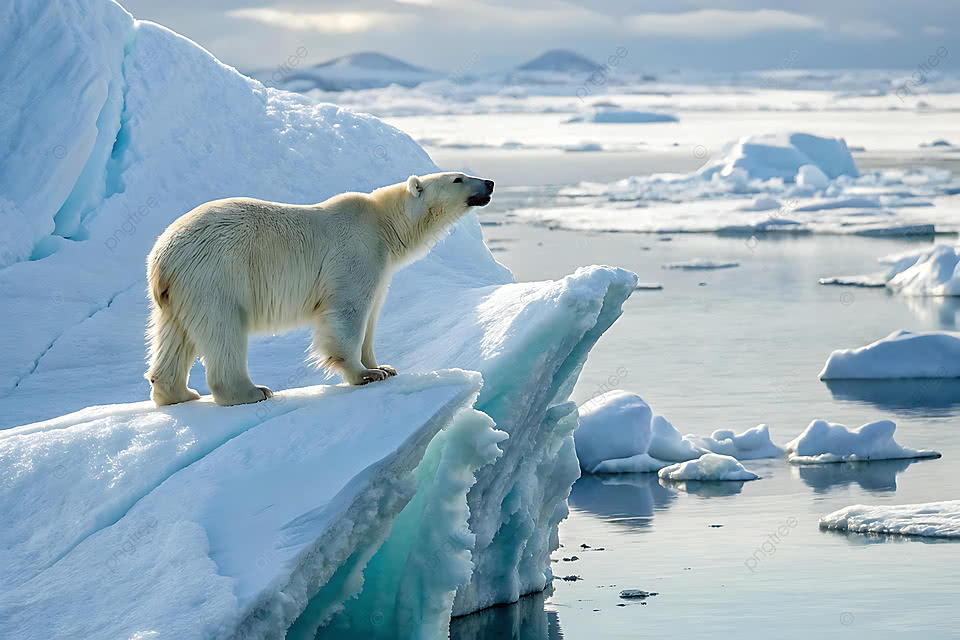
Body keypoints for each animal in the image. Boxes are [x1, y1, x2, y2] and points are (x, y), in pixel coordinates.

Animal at [145, 172, 494, 406]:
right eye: (458, 178)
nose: (490, 182)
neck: (383, 224)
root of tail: (162, 256)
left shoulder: (381, 268)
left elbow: (372, 316)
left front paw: (382, 366)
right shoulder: (355, 254)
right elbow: (349, 312)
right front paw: (363, 375)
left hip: (180, 291)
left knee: (175, 335)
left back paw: (178, 392)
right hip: (218, 274)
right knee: (223, 328)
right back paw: (251, 391)